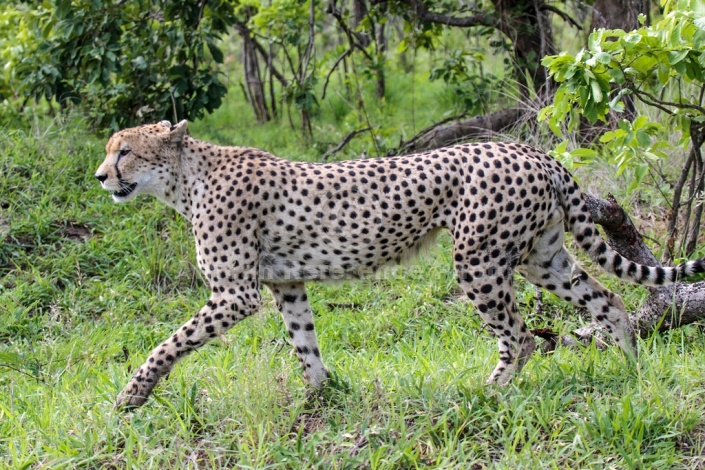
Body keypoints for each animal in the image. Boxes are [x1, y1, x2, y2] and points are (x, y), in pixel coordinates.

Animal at [95, 120, 704, 408]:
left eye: (124, 151)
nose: (101, 176)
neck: (186, 180)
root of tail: (532, 150)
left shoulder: (234, 294)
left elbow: (169, 344)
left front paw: (131, 396)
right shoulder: (287, 285)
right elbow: (305, 342)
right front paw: (320, 398)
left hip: (478, 260)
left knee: (522, 336)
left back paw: (488, 393)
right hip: (541, 256)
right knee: (609, 298)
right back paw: (632, 372)